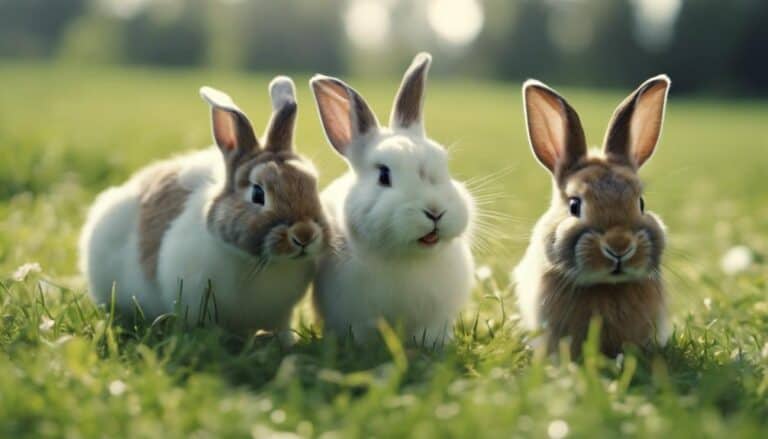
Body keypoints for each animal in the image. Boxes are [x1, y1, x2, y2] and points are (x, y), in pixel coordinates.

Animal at [79, 77, 330, 342]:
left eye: (313, 185)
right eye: (258, 194)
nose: (304, 235)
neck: (256, 262)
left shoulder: (283, 315)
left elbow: (284, 331)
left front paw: (288, 344)